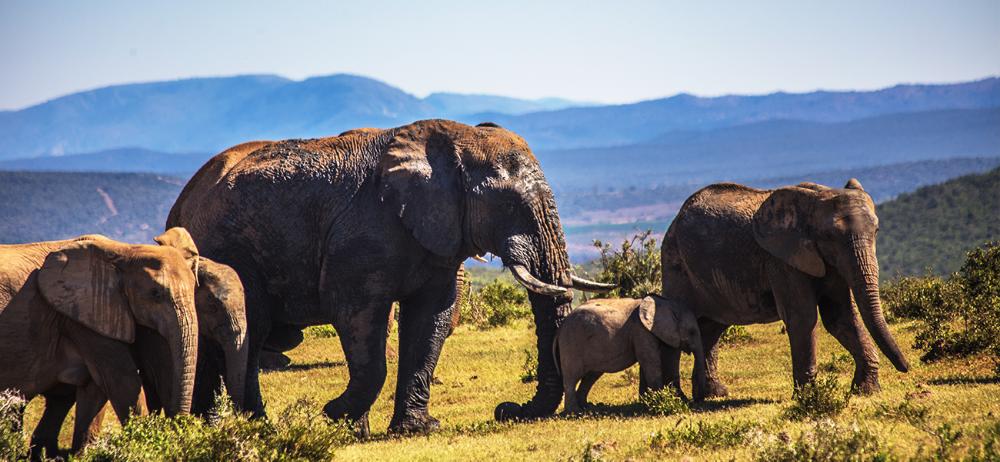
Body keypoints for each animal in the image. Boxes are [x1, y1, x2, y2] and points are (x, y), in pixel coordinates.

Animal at [0, 231, 201, 454]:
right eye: (155, 294)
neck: (125, 252)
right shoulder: (86, 316)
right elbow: (122, 381)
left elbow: (95, 388)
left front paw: (81, 454)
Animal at [168, 118, 612, 434]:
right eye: (510, 204)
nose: (507, 410)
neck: (454, 139)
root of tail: (183, 202)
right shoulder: (361, 235)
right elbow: (356, 315)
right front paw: (335, 416)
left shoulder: (437, 236)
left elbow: (430, 320)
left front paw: (415, 429)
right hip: (233, 250)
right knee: (251, 331)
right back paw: (260, 429)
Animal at [556, 296, 712, 412]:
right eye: (692, 332)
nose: (697, 400)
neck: (665, 303)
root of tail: (562, 326)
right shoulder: (641, 331)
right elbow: (651, 362)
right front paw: (660, 400)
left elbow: (649, 362)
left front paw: (648, 401)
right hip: (571, 343)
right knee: (571, 377)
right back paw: (574, 411)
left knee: (591, 376)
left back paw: (587, 407)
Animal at [660, 178, 912, 398]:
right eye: (829, 235)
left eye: (876, 231)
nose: (907, 367)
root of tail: (675, 218)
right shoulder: (782, 260)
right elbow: (802, 317)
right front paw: (809, 397)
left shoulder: (830, 264)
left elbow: (841, 317)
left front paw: (866, 391)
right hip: (675, 262)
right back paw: (673, 399)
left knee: (712, 329)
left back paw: (712, 395)